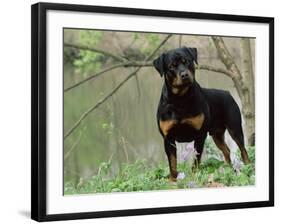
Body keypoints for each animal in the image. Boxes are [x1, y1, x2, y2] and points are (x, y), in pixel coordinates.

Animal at [153, 46, 249, 182]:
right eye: (171, 66)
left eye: (187, 61)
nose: (184, 75)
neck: (180, 99)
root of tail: (227, 93)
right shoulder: (168, 139)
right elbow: (172, 163)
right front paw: (172, 181)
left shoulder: (200, 135)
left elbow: (196, 160)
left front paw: (194, 176)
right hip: (217, 134)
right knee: (226, 150)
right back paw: (228, 168)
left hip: (234, 128)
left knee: (243, 149)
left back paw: (248, 166)